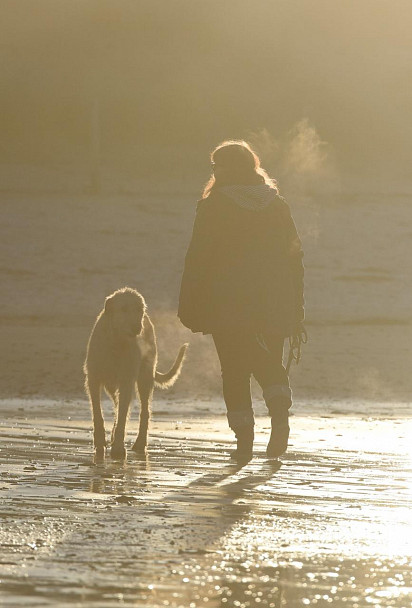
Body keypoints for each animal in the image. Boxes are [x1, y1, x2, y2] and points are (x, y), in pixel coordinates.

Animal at [84, 288, 187, 458]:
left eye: (139, 309)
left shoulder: (126, 380)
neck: (116, 342)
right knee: (118, 405)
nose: (137, 327)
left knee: (143, 410)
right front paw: (100, 442)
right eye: (123, 308)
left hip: (145, 376)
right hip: (112, 385)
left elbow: (123, 414)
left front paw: (118, 447)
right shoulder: (94, 378)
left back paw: (140, 442)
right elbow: (97, 411)